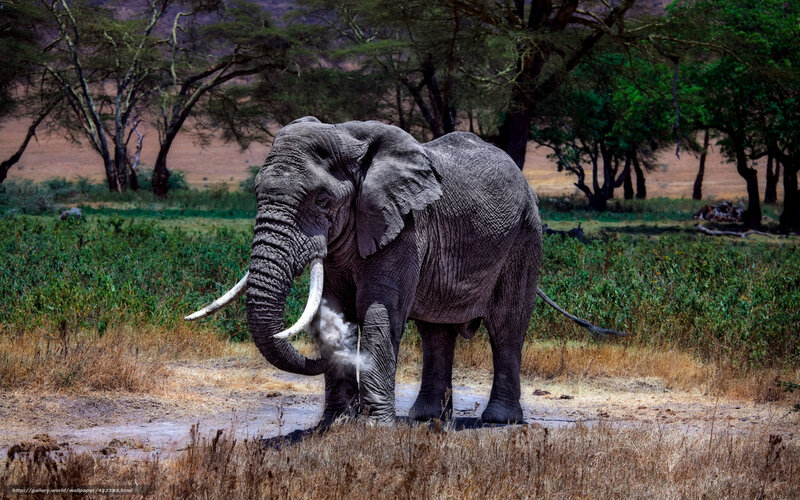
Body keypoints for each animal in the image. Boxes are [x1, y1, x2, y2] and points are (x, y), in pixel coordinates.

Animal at [186, 117, 624, 425]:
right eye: (257, 194)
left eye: (323, 200)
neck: (349, 138)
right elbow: (335, 310)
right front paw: (335, 423)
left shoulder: (406, 225)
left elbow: (379, 312)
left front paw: (374, 426)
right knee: (436, 333)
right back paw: (426, 418)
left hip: (526, 234)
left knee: (506, 326)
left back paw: (498, 421)